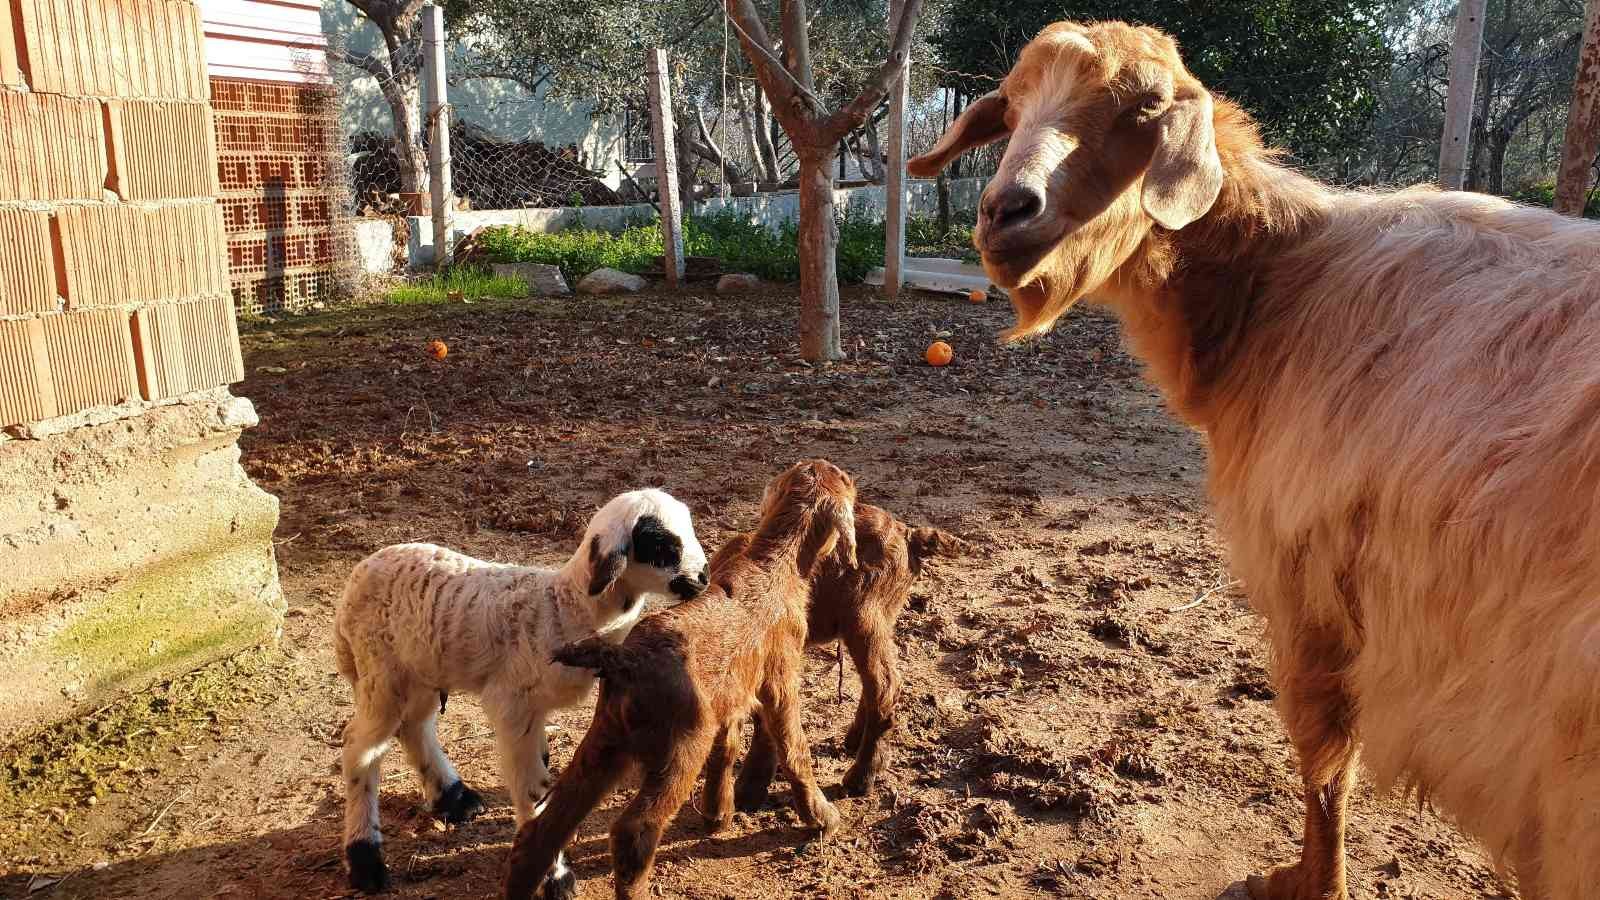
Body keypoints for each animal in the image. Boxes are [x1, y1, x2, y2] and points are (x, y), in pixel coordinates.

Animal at [331, 486, 707, 890]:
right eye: (660, 543)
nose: (703, 576)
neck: (563, 607)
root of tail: (357, 576)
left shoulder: (536, 710)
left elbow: (544, 775)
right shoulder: (513, 705)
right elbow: (532, 787)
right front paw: (553, 877)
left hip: (421, 669)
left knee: (414, 726)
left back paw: (455, 798)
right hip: (381, 671)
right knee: (360, 748)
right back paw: (365, 858)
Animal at [908, 17, 1600, 896]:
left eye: (1143, 109)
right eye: (1012, 105)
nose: (1005, 211)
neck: (1278, 284)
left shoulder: (1310, 584)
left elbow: (1326, 759)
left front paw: (1311, 880)